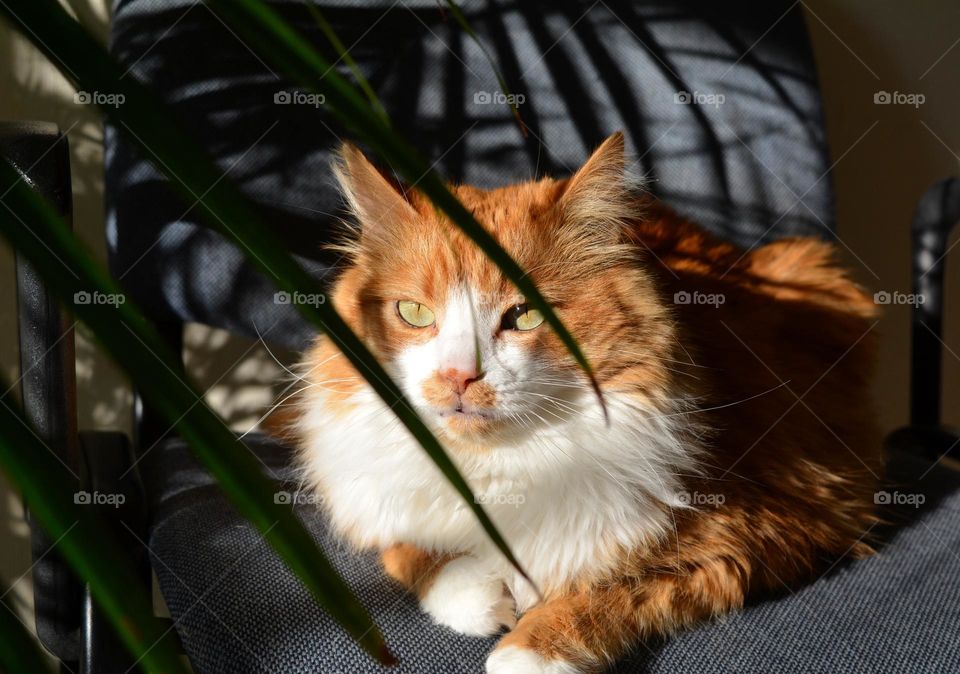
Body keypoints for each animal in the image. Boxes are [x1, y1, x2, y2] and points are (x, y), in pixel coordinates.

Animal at [284, 133, 876, 672]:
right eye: (413, 312)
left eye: (525, 316)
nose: (457, 377)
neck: (501, 467)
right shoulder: (366, 493)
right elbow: (411, 550)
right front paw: (477, 592)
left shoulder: (761, 533)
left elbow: (609, 593)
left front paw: (527, 650)